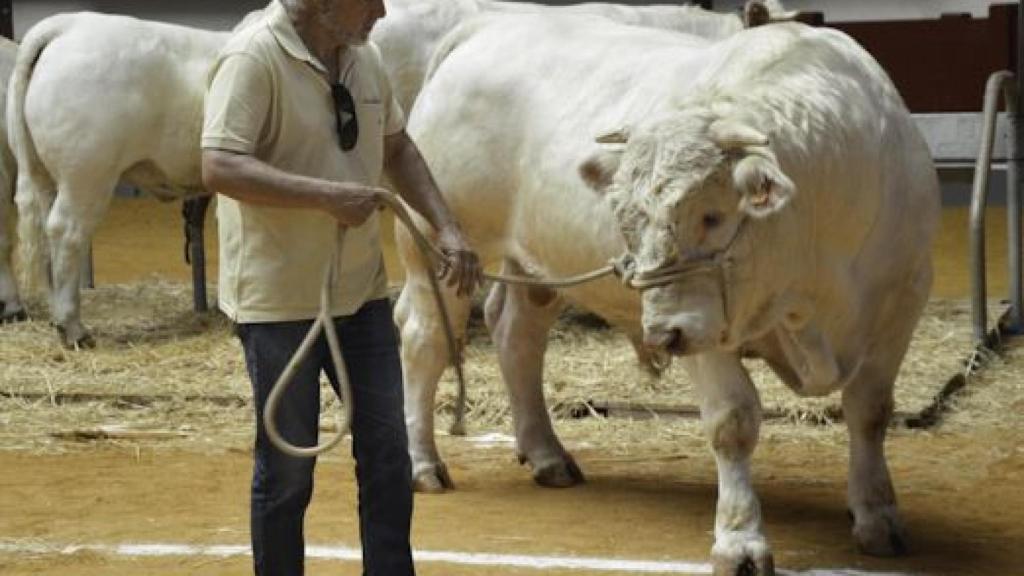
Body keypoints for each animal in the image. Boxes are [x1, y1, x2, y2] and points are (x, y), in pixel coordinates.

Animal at [6, 0, 782, 348]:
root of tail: (66, 25)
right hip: (87, 173)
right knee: (66, 233)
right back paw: (72, 326)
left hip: (40, 172)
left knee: (31, 230)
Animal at [395, 13, 937, 573]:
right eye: (626, 219)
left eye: (713, 216)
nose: (658, 334)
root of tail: (488, 25)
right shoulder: (703, 326)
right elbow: (732, 421)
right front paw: (740, 539)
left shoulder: (902, 303)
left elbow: (870, 412)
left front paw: (877, 516)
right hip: (437, 249)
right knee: (423, 342)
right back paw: (423, 462)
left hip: (536, 267)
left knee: (518, 336)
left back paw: (546, 453)